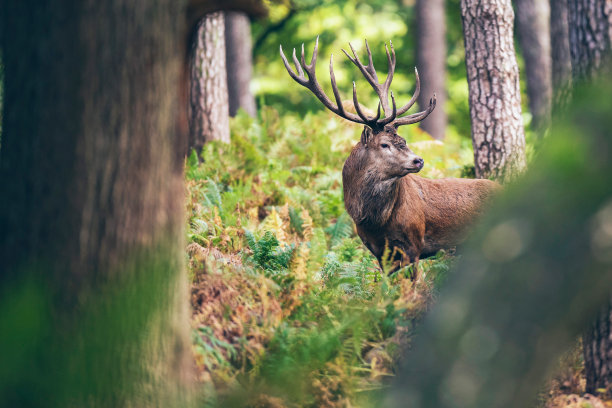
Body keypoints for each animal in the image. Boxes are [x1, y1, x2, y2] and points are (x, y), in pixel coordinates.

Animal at [280, 38, 500, 276]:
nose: (418, 160)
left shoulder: (414, 244)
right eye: (384, 144)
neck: (376, 222)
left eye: (403, 140)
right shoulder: (378, 251)